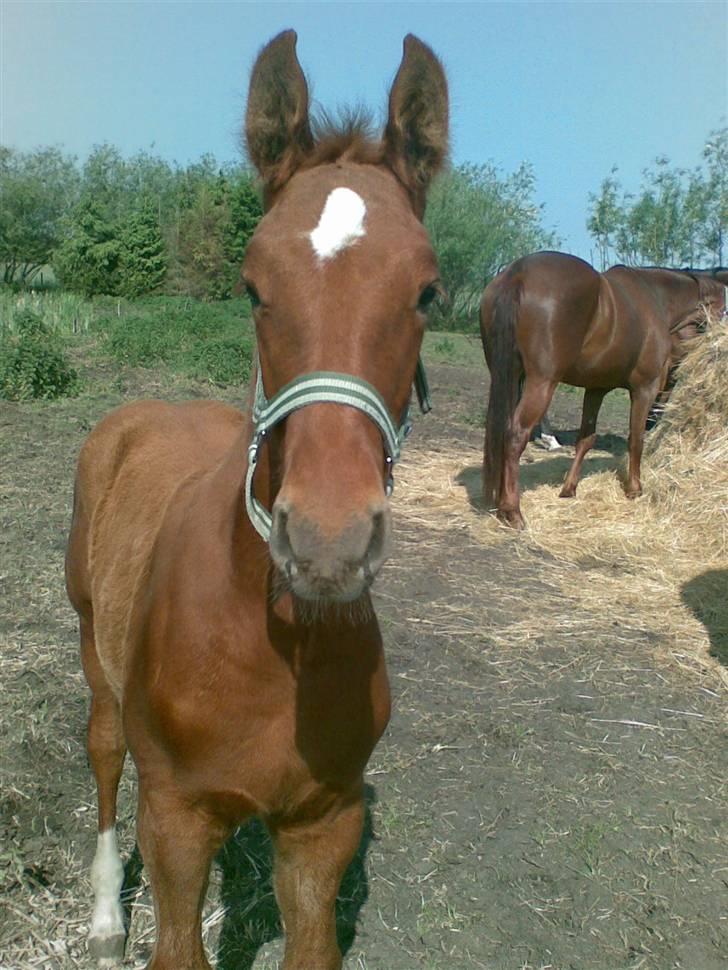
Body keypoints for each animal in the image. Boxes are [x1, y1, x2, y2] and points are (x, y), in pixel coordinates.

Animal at [67, 30, 450, 968]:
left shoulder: (322, 826)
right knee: (102, 750)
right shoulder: (174, 820)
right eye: (251, 286)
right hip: (94, 642)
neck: (272, 639)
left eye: (428, 292)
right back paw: (103, 913)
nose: (326, 542)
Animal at [480, 248, 724, 520]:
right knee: (515, 434)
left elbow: (586, 439)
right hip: (541, 383)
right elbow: (636, 439)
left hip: (507, 376)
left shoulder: (596, 389)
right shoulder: (644, 390)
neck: (658, 299)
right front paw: (635, 488)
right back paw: (512, 509)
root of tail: (518, 273)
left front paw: (569, 489)